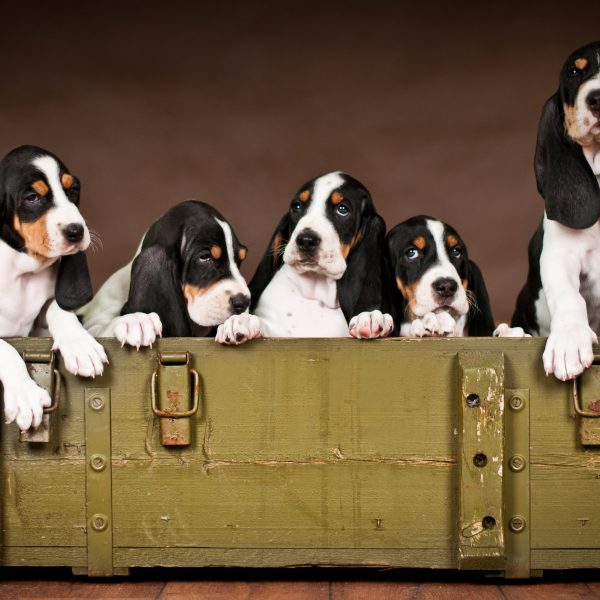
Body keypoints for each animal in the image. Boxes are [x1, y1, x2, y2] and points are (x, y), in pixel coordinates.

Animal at [0, 145, 108, 432]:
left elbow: (58, 308)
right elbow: (6, 349)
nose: (76, 231)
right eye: (32, 197)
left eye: (73, 190)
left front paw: (80, 345)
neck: (22, 272)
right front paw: (25, 395)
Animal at [80, 199, 258, 344]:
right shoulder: (95, 321)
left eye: (240, 260)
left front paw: (242, 321)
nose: (244, 302)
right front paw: (134, 321)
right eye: (204, 257)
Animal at [248, 170, 394, 338]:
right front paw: (243, 322)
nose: (305, 240)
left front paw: (368, 316)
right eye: (296, 206)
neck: (318, 295)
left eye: (342, 209)